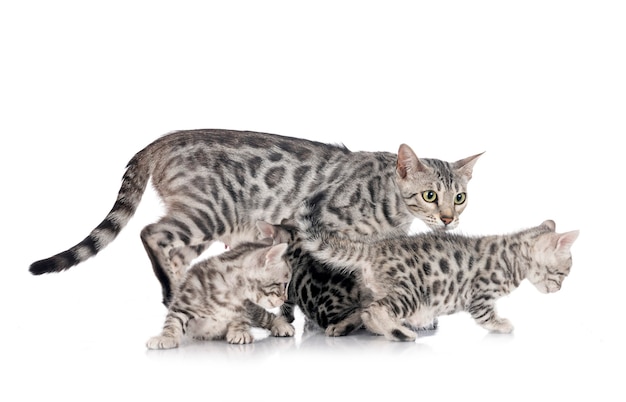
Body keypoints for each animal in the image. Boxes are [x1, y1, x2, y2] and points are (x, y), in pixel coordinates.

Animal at [147, 240, 292, 350]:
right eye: (283, 284)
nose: (285, 298)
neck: (231, 293)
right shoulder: (182, 302)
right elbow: (173, 320)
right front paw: (166, 337)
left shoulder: (246, 305)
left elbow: (241, 317)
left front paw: (239, 331)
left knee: (268, 316)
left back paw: (282, 324)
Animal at [294, 193, 576, 340]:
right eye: (562, 274)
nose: (559, 290)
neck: (514, 255)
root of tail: (374, 248)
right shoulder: (480, 295)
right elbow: (486, 316)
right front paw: (502, 325)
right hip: (411, 293)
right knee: (374, 312)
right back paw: (400, 333)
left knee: (362, 311)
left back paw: (341, 327)